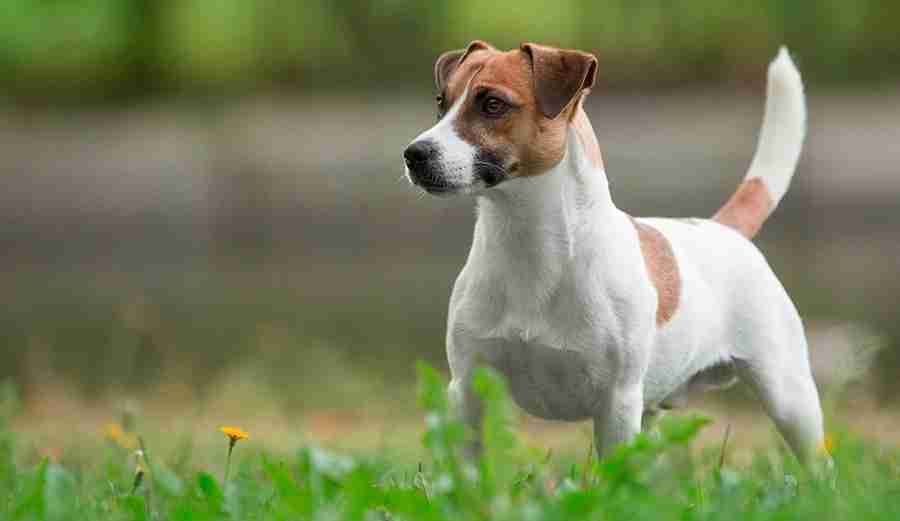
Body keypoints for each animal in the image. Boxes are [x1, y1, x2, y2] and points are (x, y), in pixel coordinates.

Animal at [404, 41, 828, 464]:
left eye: (493, 104)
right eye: (442, 102)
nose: (413, 154)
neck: (531, 248)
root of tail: (723, 228)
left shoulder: (617, 403)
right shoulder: (468, 391)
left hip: (789, 397)